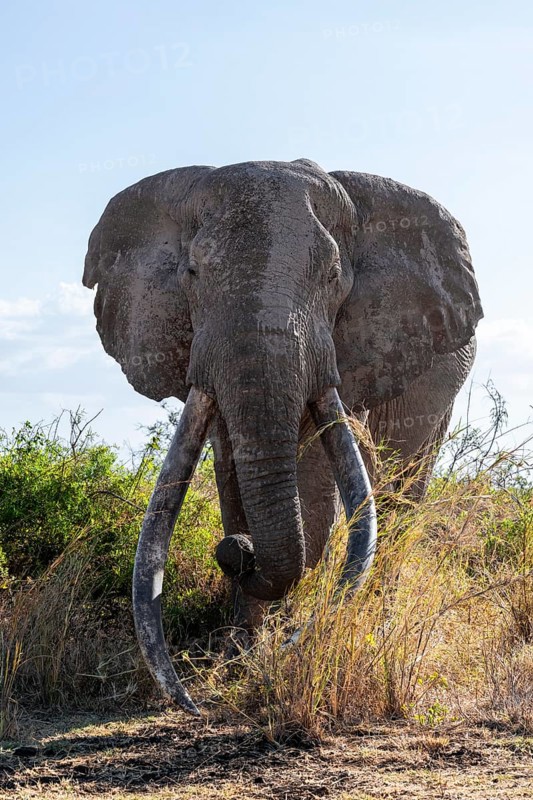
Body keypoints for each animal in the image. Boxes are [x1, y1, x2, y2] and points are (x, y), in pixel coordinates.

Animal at [83, 159, 482, 715]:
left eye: (334, 277)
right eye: (192, 274)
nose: (237, 552)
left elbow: (311, 472)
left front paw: (276, 650)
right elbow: (231, 462)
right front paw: (239, 656)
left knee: (402, 493)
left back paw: (375, 623)